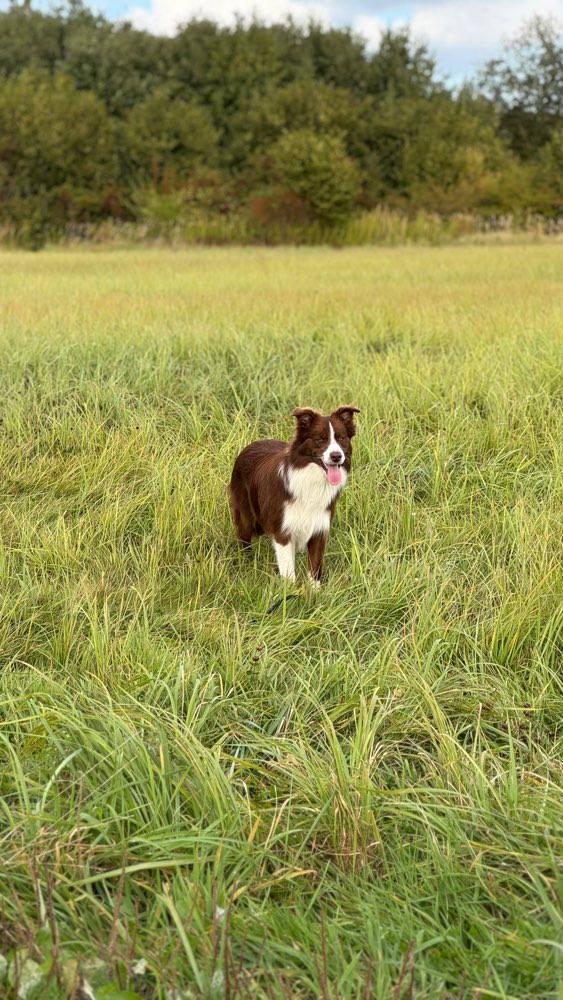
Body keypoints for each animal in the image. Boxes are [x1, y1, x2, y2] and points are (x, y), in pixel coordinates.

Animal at [229, 402, 362, 584]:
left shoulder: (319, 528)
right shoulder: (283, 531)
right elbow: (288, 571)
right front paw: (289, 589)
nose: (336, 456)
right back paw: (246, 564)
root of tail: (251, 445)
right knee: (244, 539)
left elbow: (315, 567)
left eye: (341, 438)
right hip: (245, 515)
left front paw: (313, 589)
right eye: (320, 439)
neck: (311, 479)